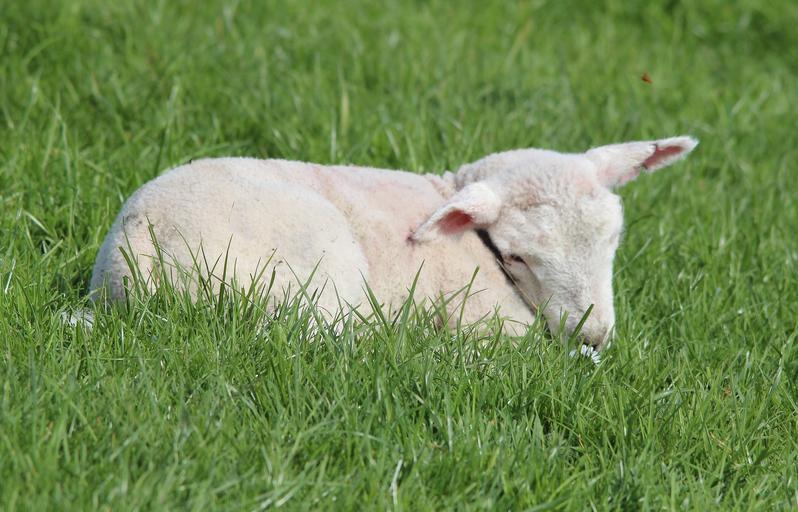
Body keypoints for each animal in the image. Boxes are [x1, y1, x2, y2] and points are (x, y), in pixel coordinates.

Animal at [89, 136, 698, 349]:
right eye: (518, 256)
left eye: (612, 239)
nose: (594, 334)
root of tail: (138, 243)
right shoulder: (491, 316)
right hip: (314, 265)